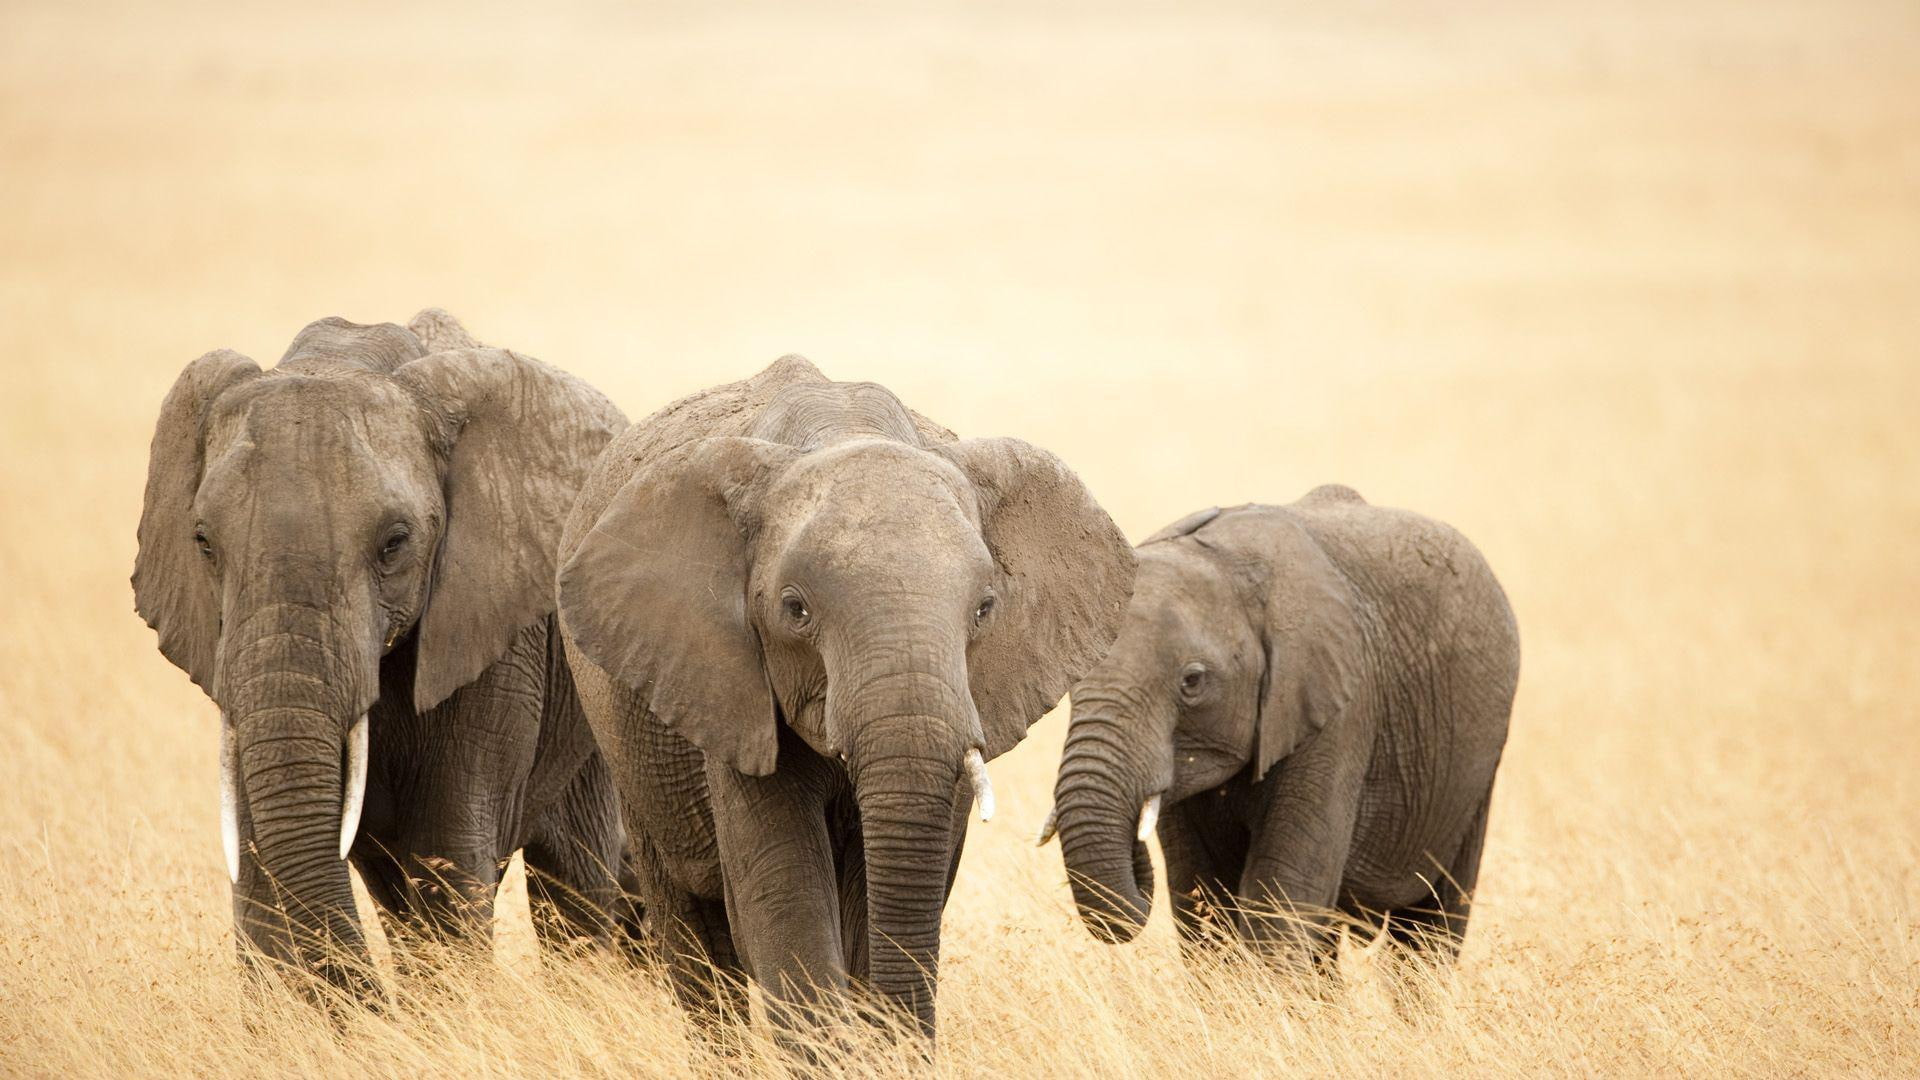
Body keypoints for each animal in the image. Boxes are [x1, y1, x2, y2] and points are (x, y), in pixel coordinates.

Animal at [133, 309, 635, 996]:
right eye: (203, 543)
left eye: (395, 543)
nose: (380, 1004)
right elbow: (261, 853)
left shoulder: (495, 636)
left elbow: (445, 853)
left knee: (575, 878)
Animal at [1040, 487, 1519, 972]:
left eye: (1192, 681)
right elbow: (1202, 896)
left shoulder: (1339, 708)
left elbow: (1281, 896)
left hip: (1477, 770)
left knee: (1429, 929)